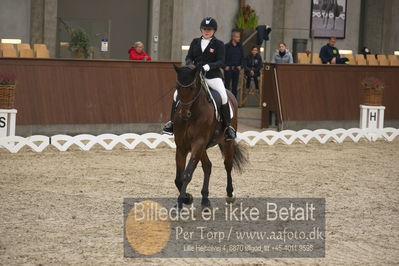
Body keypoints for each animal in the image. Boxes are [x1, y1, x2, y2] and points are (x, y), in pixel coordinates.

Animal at [173, 64, 248, 210]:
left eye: (192, 88)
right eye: (177, 87)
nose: (183, 114)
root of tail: (230, 93)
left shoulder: (198, 143)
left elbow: (187, 174)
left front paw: (181, 203)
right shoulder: (182, 147)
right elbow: (178, 178)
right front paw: (187, 198)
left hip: (225, 142)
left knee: (228, 165)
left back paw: (230, 195)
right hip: (203, 148)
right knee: (208, 166)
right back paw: (205, 199)